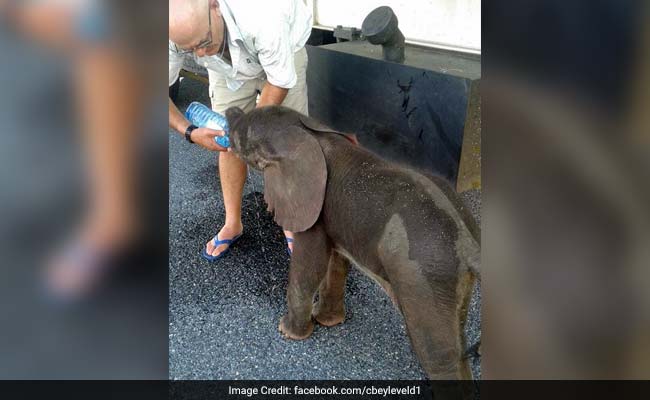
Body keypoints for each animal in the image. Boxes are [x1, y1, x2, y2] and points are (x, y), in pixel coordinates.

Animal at [225, 104, 478, 380]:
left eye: (241, 137)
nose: (230, 110)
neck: (307, 132)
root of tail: (470, 249)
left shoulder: (312, 210)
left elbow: (310, 265)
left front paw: (287, 332)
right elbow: (335, 262)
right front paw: (327, 321)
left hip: (422, 275)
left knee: (437, 354)